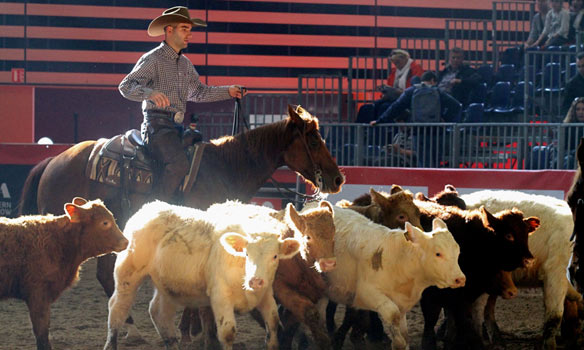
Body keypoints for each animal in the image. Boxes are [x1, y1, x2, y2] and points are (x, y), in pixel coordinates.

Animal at [18, 104, 344, 334]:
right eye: (313, 141)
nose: (338, 178)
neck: (224, 168)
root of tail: (53, 160)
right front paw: (194, 328)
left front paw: (190, 327)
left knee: (104, 275)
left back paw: (129, 328)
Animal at [103, 200, 302, 350]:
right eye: (246, 253)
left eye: (275, 256)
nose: (256, 281)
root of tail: (149, 207)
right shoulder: (220, 296)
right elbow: (227, 333)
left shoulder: (266, 295)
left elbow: (274, 325)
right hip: (127, 275)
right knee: (118, 308)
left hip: (167, 284)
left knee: (159, 312)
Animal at [320, 205, 466, 350]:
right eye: (438, 254)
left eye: (458, 252)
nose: (460, 279)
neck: (397, 259)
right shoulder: (366, 292)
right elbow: (392, 314)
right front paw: (397, 342)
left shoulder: (401, 301)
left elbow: (404, 332)